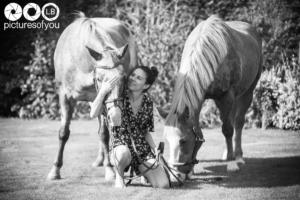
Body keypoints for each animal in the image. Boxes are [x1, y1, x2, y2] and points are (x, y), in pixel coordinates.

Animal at [47, 12, 137, 181]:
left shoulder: (102, 100)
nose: (116, 113)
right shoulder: (64, 96)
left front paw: (109, 169)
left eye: (123, 78)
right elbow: (63, 133)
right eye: (100, 78)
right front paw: (55, 170)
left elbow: (104, 134)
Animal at [161, 15, 262, 181]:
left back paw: (238, 157)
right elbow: (200, 130)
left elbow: (227, 129)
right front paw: (192, 170)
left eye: (183, 140)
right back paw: (227, 153)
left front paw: (231, 164)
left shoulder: (227, 96)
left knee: (238, 123)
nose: (176, 176)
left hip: (247, 92)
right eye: (166, 140)